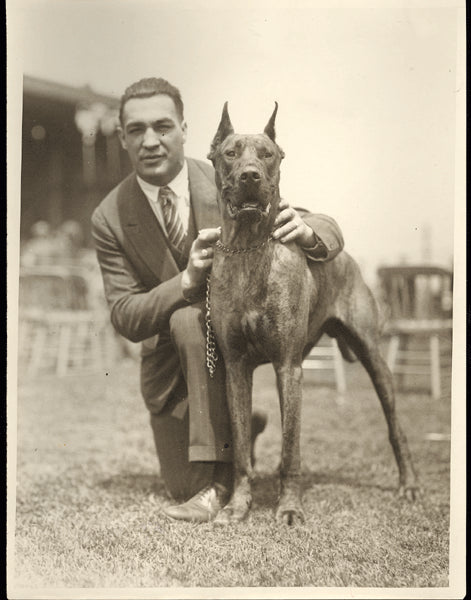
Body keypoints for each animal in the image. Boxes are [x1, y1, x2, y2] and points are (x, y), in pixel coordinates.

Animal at [207, 103, 420, 524]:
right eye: (231, 153)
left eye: (267, 154)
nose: (250, 175)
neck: (249, 248)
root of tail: (349, 259)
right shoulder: (235, 368)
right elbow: (240, 446)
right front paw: (238, 505)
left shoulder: (289, 366)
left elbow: (291, 446)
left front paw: (289, 506)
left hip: (372, 356)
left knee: (394, 425)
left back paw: (408, 483)